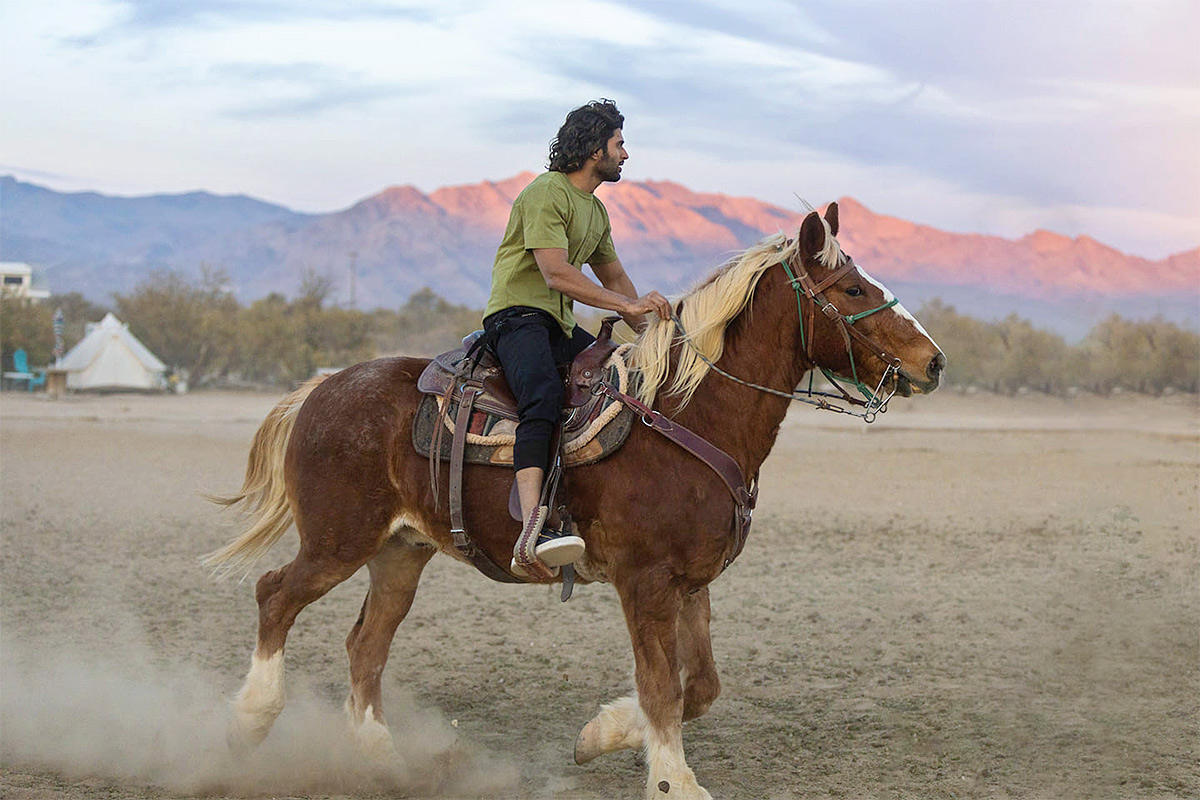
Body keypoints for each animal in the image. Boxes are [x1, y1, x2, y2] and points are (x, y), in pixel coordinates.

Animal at [206, 203, 945, 796]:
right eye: (852, 287)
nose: (933, 362)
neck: (689, 416)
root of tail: (323, 387)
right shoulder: (644, 580)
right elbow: (661, 685)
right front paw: (673, 780)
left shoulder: (691, 581)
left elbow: (698, 685)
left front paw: (601, 734)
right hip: (337, 541)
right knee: (275, 596)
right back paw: (248, 721)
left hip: (400, 552)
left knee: (366, 642)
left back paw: (379, 757)